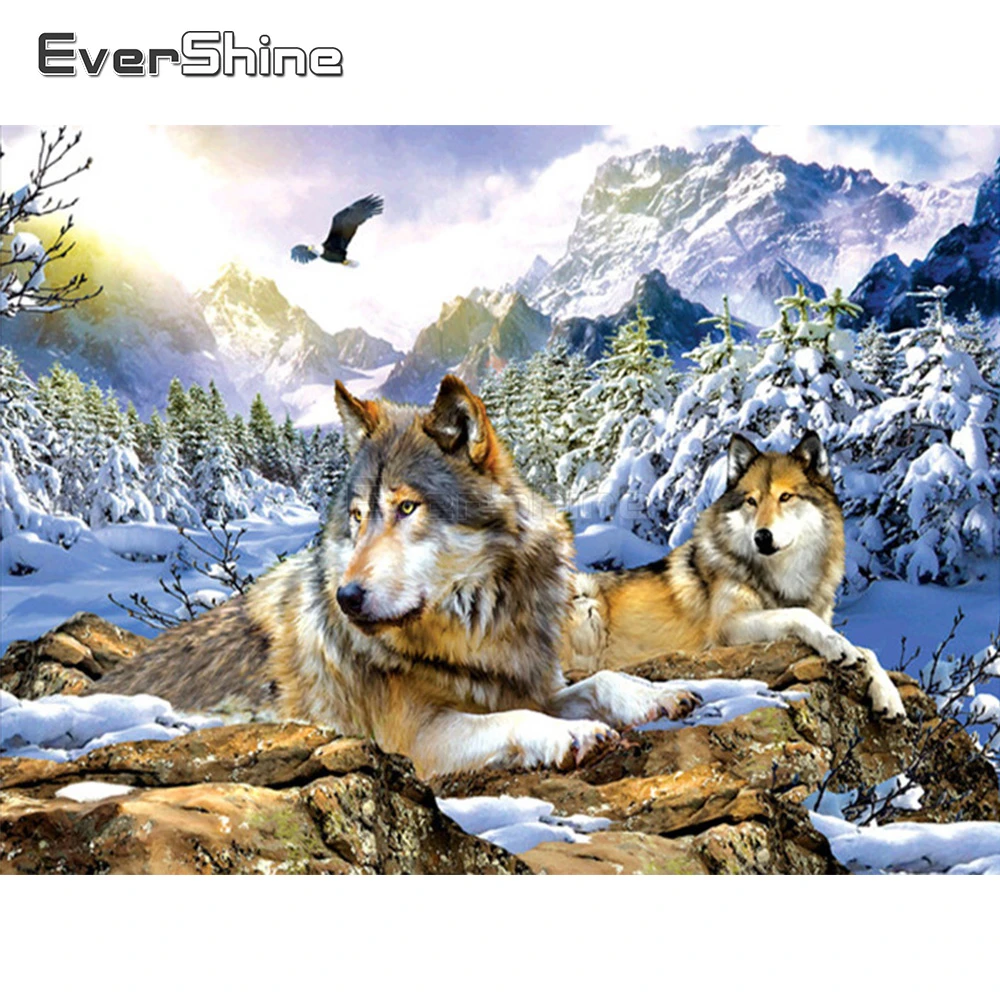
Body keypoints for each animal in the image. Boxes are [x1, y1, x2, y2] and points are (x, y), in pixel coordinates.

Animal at [100, 376, 699, 778]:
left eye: (407, 508)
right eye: (357, 516)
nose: (347, 597)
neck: (476, 629)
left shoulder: (527, 682)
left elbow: (601, 680)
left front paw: (658, 695)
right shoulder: (419, 738)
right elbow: (515, 721)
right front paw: (572, 733)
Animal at [564, 431, 906, 719]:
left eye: (785, 497)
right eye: (751, 501)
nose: (762, 537)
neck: (783, 577)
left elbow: (867, 651)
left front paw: (889, 696)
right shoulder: (726, 628)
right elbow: (799, 615)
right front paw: (836, 645)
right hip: (587, 600)